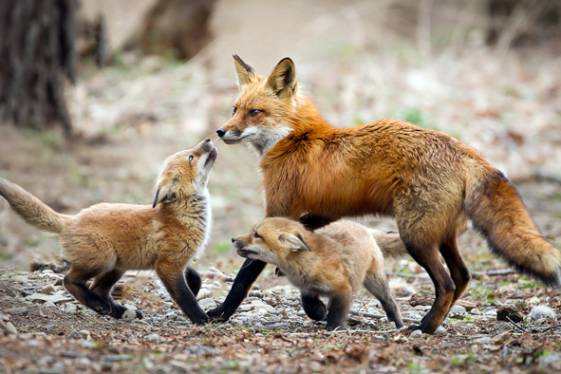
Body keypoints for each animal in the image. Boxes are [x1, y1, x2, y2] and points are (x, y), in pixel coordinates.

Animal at [210, 54, 560, 334]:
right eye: (235, 108)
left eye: (255, 112)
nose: (221, 131)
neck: (295, 138)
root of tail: (465, 150)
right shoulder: (322, 213)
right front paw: (315, 305)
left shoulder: (279, 211)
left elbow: (245, 274)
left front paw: (220, 313)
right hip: (441, 236)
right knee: (462, 276)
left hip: (415, 236)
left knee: (446, 283)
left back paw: (424, 327)